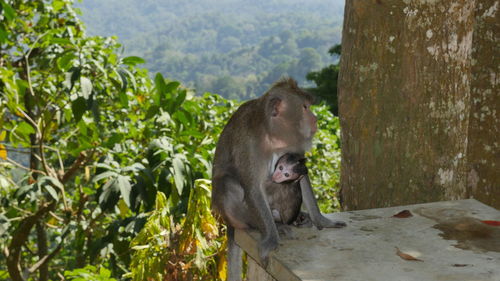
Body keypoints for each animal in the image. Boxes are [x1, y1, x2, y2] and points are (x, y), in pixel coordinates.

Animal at [210, 77, 344, 280]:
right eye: (305, 107)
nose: (315, 118)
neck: (273, 136)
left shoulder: (294, 147)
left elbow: (301, 175)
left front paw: (322, 221)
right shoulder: (250, 144)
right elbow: (253, 188)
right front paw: (271, 241)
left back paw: (299, 218)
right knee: (228, 184)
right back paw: (266, 226)